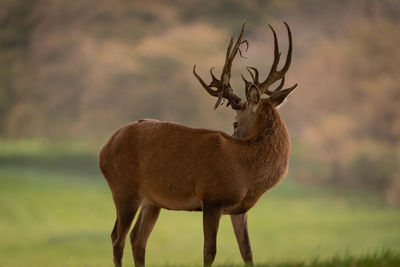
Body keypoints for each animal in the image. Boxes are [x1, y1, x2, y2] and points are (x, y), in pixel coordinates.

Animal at [98, 21, 296, 267]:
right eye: (234, 122)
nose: (235, 133)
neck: (244, 172)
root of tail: (104, 148)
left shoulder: (239, 210)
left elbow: (247, 251)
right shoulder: (211, 198)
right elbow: (209, 251)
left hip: (152, 199)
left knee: (137, 238)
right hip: (124, 187)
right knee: (118, 238)